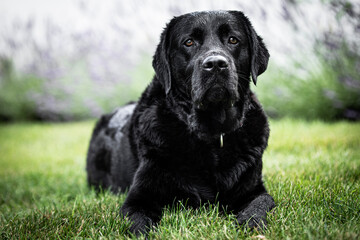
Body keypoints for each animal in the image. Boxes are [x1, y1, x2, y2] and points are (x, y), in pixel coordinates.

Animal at [86, 10, 272, 235]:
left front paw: (252, 224)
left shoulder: (254, 190)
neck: (211, 131)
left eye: (233, 40)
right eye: (189, 42)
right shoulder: (139, 197)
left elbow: (260, 205)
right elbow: (139, 222)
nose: (216, 64)